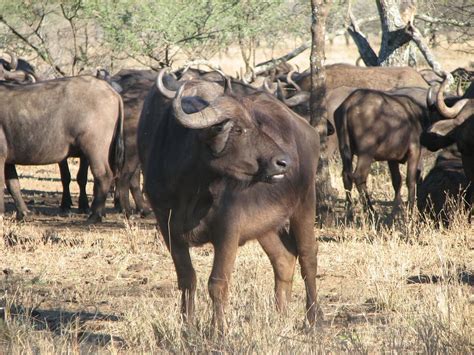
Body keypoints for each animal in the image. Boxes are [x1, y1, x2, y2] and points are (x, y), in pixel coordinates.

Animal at [0, 76, 124, 222]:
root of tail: (112, 91)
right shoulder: (8, 160)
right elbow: (13, 184)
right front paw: (23, 213)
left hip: (95, 149)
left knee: (103, 175)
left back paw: (95, 215)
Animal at [139, 70, 320, 334]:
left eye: (256, 123)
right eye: (238, 130)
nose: (283, 162)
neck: (191, 190)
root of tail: (307, 128)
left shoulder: (228, 228)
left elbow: (217, 282)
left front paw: (218, 331)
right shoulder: (167, 226)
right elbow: (186, 278)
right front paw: (187, 328)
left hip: (305, 203)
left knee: (308, 257)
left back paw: (314, 319)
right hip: (266, 224)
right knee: (284, 259)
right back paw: (280, 316)